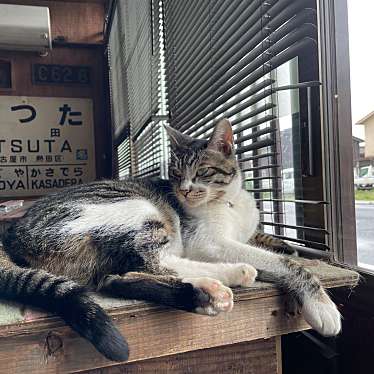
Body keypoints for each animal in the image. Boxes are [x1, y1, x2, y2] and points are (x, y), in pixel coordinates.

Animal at [0, 118, 340, 360]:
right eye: (175, 174)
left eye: (202, 171)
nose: (184, 190)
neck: (229, 201)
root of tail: (15, 232)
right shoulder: (207, 242)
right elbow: (282, 264)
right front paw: (321, 305)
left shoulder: (247, 229)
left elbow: (266, 238)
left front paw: (293, 247)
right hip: (138, 210)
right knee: (150, 259)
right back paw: (224, 280)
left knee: (114, 277)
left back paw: (204, 292)